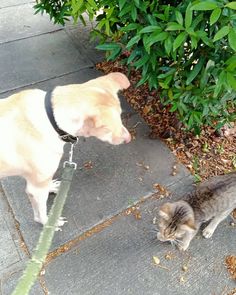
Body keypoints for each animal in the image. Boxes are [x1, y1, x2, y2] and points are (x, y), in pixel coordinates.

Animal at [0, 74, 131, 227]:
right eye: (107, 128)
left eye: (121, 115)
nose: (129, 139)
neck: (52, 119)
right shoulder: (35, 189)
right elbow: (40, 214)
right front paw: (49, 222)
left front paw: (52, 187)